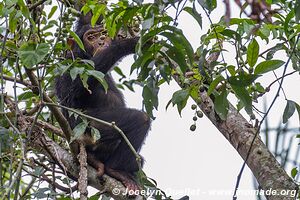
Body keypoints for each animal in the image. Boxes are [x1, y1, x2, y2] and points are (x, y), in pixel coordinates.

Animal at [54, 13, 150, 191]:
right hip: (90, 128)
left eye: (103, 33)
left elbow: (88, 17)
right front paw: (126, 44)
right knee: (140, 119)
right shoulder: (71, 64)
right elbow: (76, 91)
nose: (101, 40)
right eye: (90, 37)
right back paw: (115, 170)